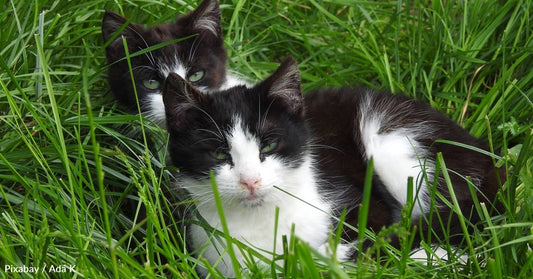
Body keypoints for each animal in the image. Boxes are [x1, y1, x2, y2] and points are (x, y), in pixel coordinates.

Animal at [161, 57, 502, 278]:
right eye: (219, 154)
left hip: (390, 137)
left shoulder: (367, 208)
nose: (250, 181)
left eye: (268, 146)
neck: (260, 220)